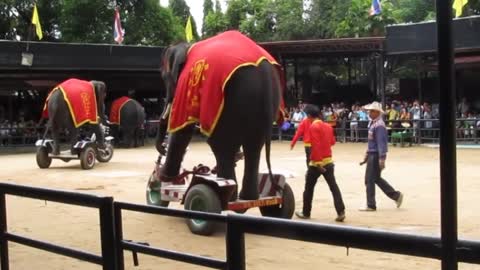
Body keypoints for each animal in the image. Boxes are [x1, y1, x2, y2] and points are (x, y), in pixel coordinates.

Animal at [156, 31, 284, 200]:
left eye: (164, 77)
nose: (162, 150)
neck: (189, 45)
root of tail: (265, 74)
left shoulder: (185, 83)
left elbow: (182, 128)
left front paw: (165, 177)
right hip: (263, 100)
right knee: (254, 144)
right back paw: (248, 197)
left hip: (233, 99)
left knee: (221, 144)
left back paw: (228, 195)